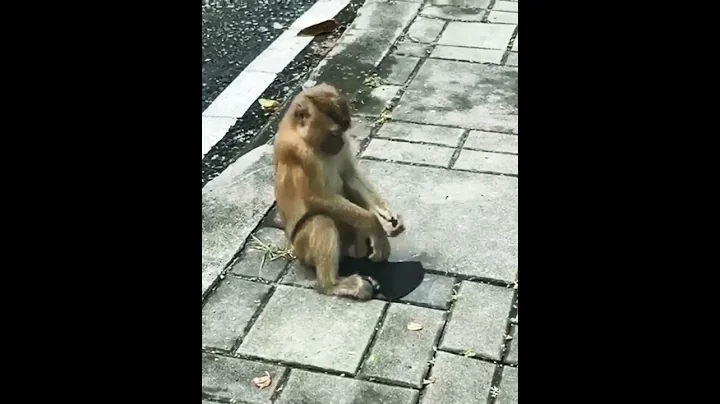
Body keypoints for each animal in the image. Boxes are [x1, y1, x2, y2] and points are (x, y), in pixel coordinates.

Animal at [273, 83, 405, 301]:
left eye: (343, 130)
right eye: (332, 133)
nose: (341, 142)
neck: (304, 137)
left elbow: (349, 174)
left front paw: (385, 214)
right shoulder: (300, 154)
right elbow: (317, 198)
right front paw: (376, 228)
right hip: (303, 249)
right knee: (322, 220)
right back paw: (333, 284)